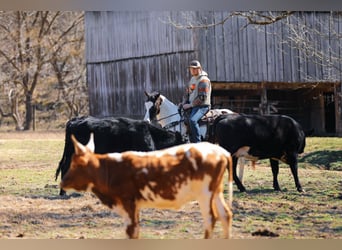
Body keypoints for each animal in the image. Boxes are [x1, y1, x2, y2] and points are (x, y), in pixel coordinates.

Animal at [60, 134, 234, 239]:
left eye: (76, 164)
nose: (63, 182)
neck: (111, 169)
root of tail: (220, 151)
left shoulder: (128, 203)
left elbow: (131, 231)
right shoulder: (135, 206)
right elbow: (136, 230)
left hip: (205, 194)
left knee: (211, 218)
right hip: (216, 192)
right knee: (225, 215)